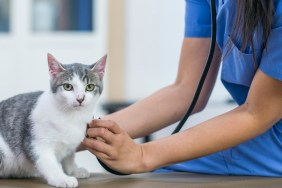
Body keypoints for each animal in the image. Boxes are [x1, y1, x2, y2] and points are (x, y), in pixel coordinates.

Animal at [0, 53, 107, 187]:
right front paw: (62, 178)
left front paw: (73, 170)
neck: (71, 116)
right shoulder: (36, 143)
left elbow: (69, 156)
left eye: (90, 87)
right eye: (67, 86)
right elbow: (48, 163)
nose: (80, 98)